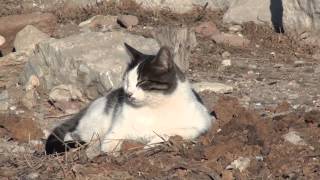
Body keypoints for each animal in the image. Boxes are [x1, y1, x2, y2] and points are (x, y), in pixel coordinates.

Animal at [45, 43, 215, 155]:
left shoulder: (202, 123)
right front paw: (112, 149)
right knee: (74, 135)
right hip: (93, 127)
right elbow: (110, 141)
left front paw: (150, 145)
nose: (128, 94)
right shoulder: (116, 128)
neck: (153, 107)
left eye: (142, 82)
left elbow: (170, 133)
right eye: (126, 80)